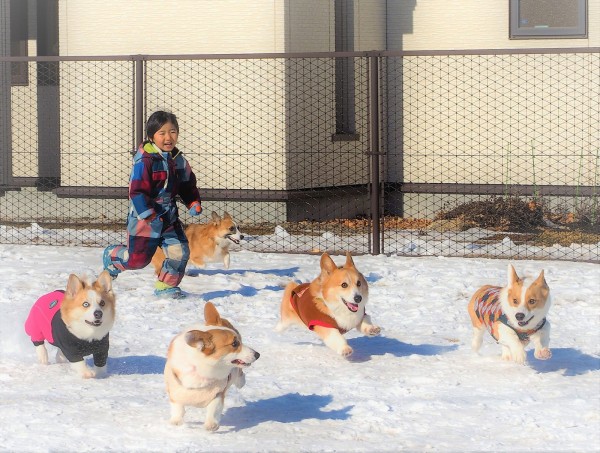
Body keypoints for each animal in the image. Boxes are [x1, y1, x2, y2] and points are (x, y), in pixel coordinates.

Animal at [165, 302, 258, 430]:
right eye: (234, 344)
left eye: (240, 341)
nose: (257, 354)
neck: (199, 368)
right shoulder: (175, 392)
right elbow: (178, 408)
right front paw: (176, 421)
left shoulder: (218, 393)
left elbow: (214, 408)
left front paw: (211, 424)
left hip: (236, 373)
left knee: (239, 375)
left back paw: (241, 382)